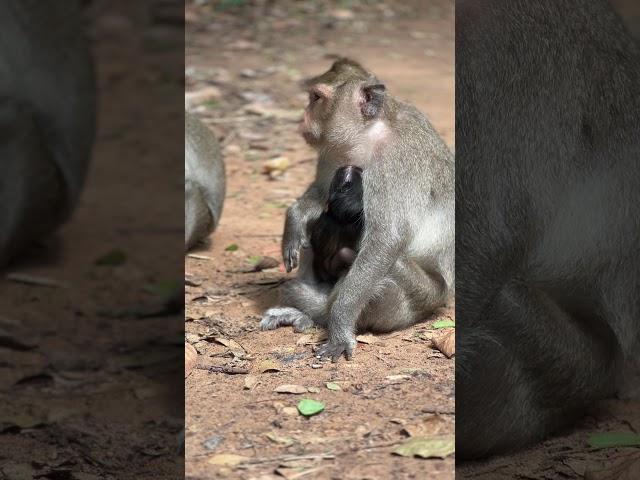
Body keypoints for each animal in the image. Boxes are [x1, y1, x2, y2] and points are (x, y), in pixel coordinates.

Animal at [260, 59, 456, 360]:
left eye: (316, 98)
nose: (302, 117)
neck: (369, 132)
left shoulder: (394, 162)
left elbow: (386, 239)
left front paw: (339, 327)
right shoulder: (333, 149)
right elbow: (320, 192)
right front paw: (294, 218)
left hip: (426, 297)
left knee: (387, 277)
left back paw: (320, 312)